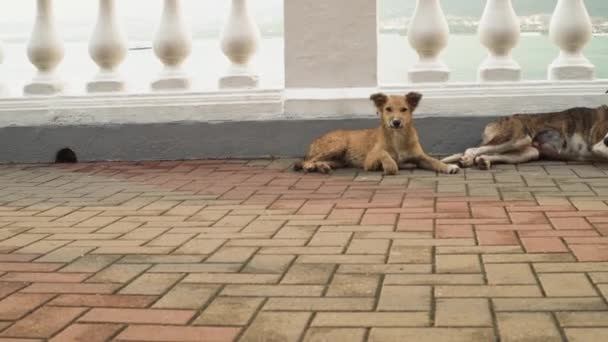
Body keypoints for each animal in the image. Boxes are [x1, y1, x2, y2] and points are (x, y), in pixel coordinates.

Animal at [294, 92, 460, 175]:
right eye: (388, 109)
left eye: (404, 109)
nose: (396, 122)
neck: (397, 138)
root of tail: (315, 140)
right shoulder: (369, 160)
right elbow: (383, 153)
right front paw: (391, 166)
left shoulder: (420, 157)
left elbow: (434, 161)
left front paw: (448, 167)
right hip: (338, 145)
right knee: (307, 161)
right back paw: (311, 167)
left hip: (339, 160)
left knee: (318, 161)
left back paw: (322, 167)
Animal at [442, 104, 608, 168]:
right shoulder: (599, 145)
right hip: (518, 137)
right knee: (472, 149)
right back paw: (468, 159)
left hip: (529, 152)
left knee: (490, 154)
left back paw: (484, 161)